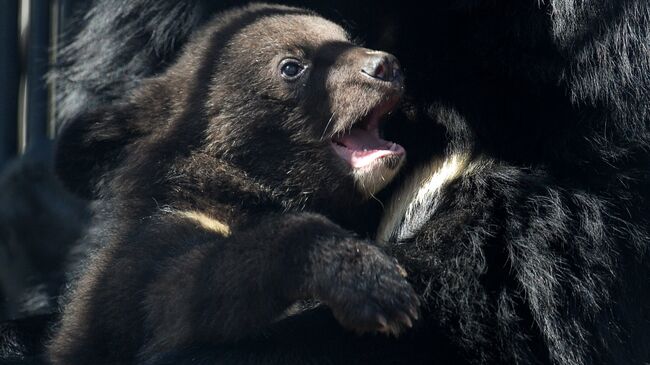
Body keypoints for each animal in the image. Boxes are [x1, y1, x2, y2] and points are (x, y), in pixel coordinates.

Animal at [46, 0, 648, 364]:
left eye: (347, 37)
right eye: (292, 66)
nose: (387, 66)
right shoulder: (156, 248)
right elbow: (184, 294)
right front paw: (373, 286)